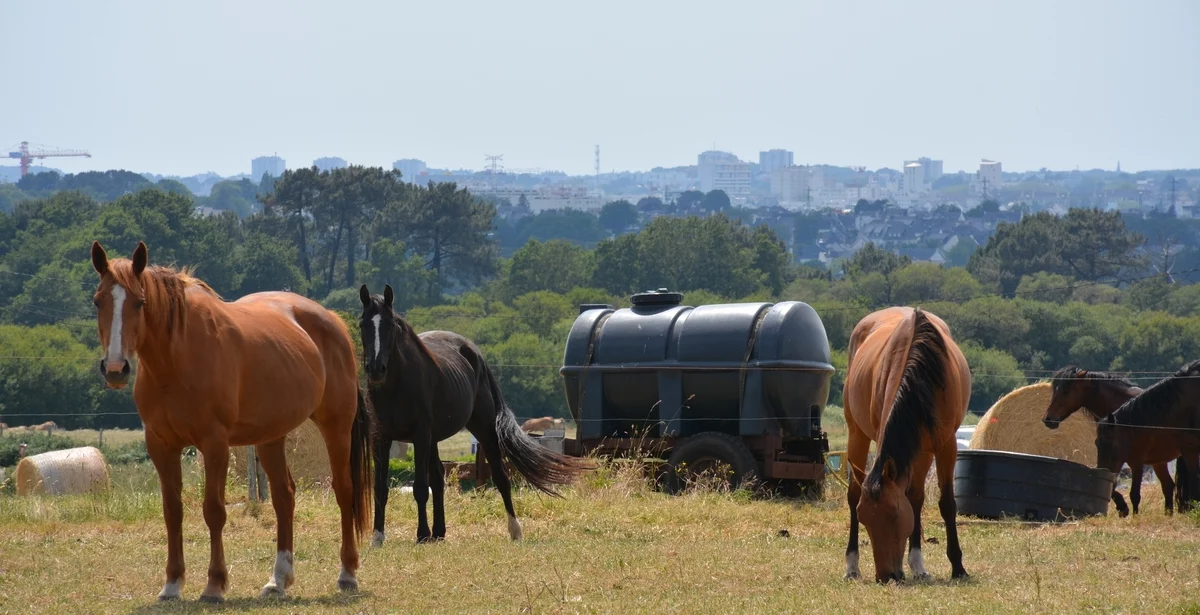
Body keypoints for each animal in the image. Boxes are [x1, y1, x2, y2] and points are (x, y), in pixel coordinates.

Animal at [90, 242, 372, 602]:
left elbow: (214, 510)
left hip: (336, 426)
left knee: (344, 490)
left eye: (139, 302)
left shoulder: (215, 443)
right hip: (271, 437)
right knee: (284, 497)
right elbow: (173, 512)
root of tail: (332, 320)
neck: (176, 360)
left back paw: (347, 574)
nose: (115, 369)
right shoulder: (161, 445)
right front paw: (172, 584)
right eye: (98, 301)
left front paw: (214, 584)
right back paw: (278, 579)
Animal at [360, 285, 595, 545]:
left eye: (390, 326)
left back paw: (514, 530)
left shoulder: (420, 436)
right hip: (435, 439)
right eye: (363, 325)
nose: (376, 369)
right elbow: (380, 489)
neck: (396, 386)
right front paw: (378, 537)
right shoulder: (381, 437)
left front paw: (421, 535)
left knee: (500, 476)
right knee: (438, 477)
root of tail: (474, 353)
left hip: (483, 428)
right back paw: (438, 532)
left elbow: (420, 488)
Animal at [840, 307, 969, 586]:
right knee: (854, 492)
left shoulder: (945, 445)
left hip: (923, 450)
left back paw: (918, 565)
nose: (886, 576)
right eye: (865, 519)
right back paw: (852, 566)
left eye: (895, 514)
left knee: (916, 497)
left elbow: (945, 503)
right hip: (857, 433)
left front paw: (958, 567)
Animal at [1041, 367, 1190, 516]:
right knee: (1168, 485)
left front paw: (1123, 507)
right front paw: (1122, 507)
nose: (1048, 419)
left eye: (1065, 391)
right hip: (1159, 461)